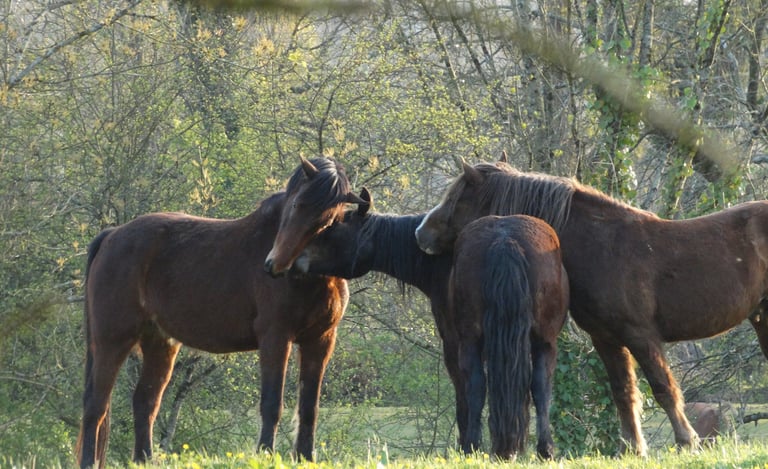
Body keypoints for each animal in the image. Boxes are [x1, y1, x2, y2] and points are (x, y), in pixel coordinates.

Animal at [76, 156, 363, 468]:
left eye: (330, 219)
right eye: (297, 204)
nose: (275, 265)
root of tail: (112, 235)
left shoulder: (320, 340)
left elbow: (309, 407)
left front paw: (306, 457)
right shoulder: (275, 337)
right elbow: (272, 403)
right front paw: (265, 453)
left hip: (160, 343)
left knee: (145, 402)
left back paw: (145, 459)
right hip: (112, 340)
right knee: (96, 405)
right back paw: (89, 461)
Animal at [295, 188, 567, 459]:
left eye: (333, 229)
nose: (297, 259)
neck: (440, 258)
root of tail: (506, 241)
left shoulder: (453, 343)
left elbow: (464, 393)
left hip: (472, 341)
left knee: (477, 385)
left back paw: (472, 446)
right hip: (544, 341)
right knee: (541, 386)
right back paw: (544, 450)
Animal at [414, 159, 768, 456]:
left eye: (458, 198)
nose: (421, 233)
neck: (605, 246)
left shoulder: (642, 336)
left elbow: (663, 387)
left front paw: (686, 441)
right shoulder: (607, 339)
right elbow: (623, 391)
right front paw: (632, 448)